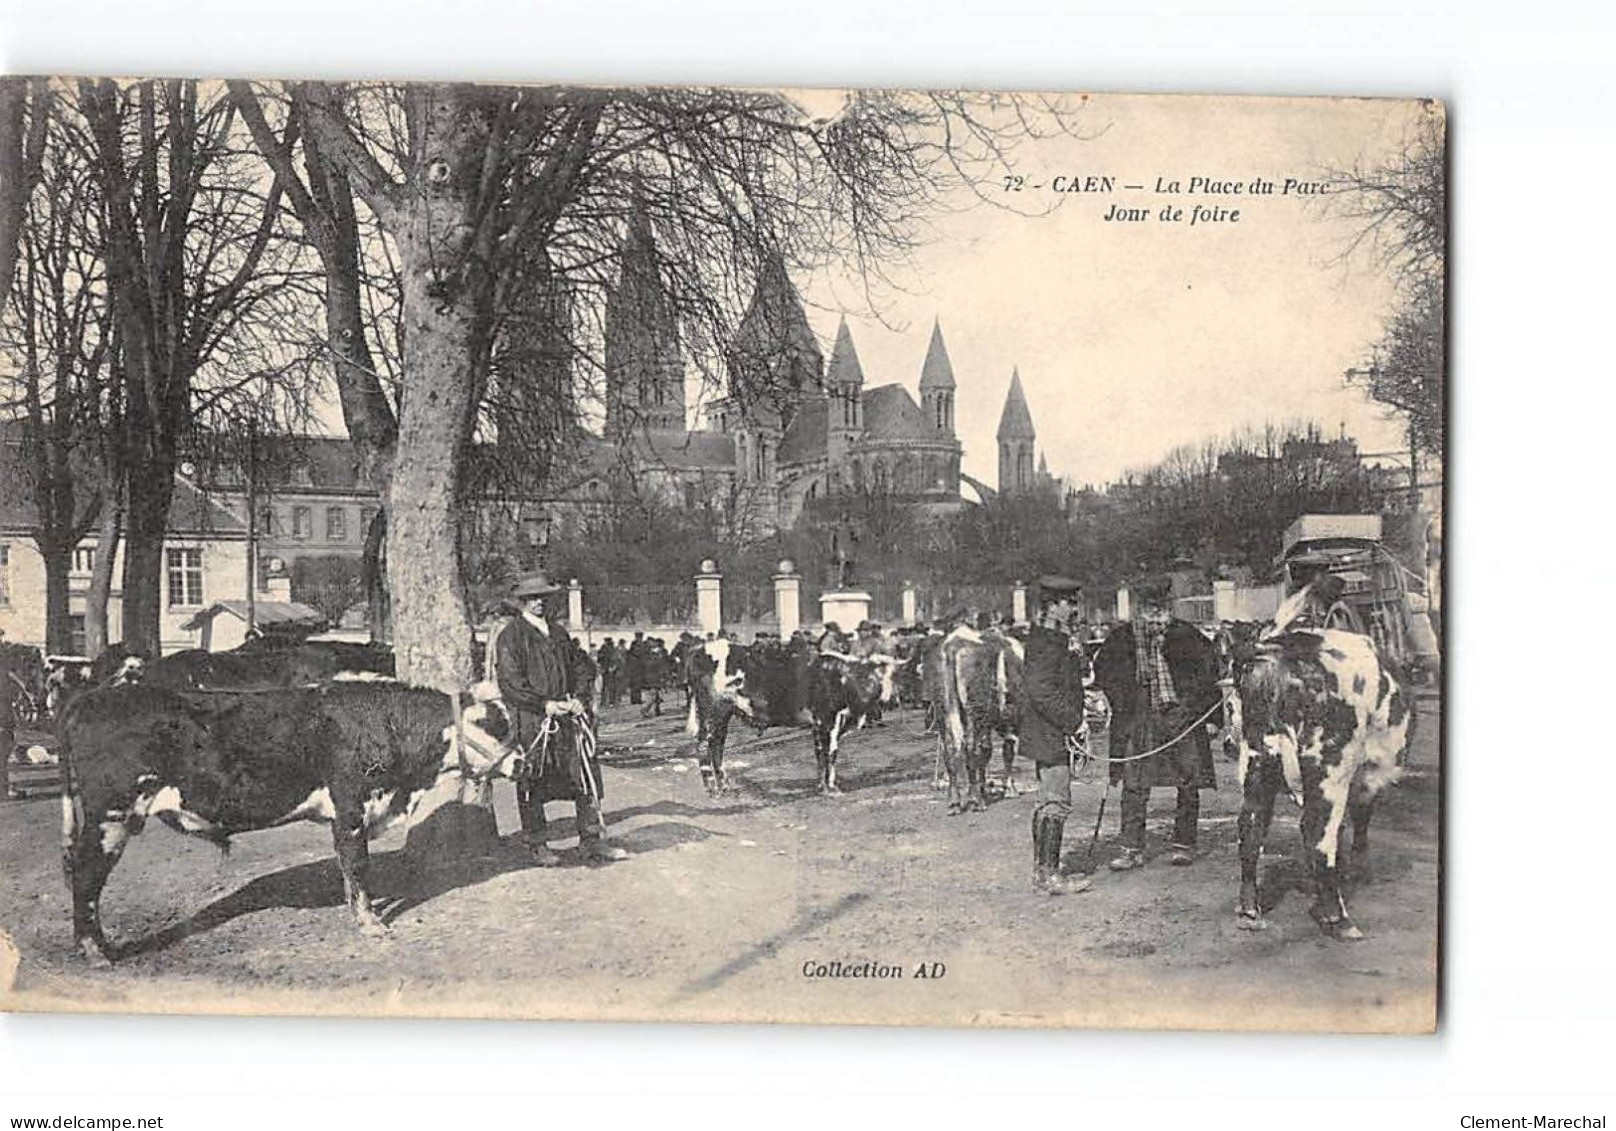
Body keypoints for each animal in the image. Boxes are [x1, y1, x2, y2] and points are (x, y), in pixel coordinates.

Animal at [58, 675, 517, 969]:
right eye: (492, 725)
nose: (524, 762)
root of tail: (87, 700)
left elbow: (348, 871)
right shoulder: (351, 806)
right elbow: (357, 866)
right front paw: (371, 925)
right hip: (111, 815)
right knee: (86, 876)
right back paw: (96, 952)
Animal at [937, 626, 1021, 814]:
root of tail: (956, 642)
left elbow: (988, 751)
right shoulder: (1010, 718)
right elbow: (1007, 750)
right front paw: (1010, 789)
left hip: (948, 710)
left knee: (950, 750)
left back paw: (955, 802)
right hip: (976, 711)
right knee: (971, 749)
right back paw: (977, 801)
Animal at [1234, 626, 1415, 937]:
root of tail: (1275, 654)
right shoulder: (1368, 781)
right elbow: (1358, 825)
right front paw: (1358, 872)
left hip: (1257, 763)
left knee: (1251, 829)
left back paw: (1249, 913)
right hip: (1330, 768)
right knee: (1317, 832)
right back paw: (1339, 920)